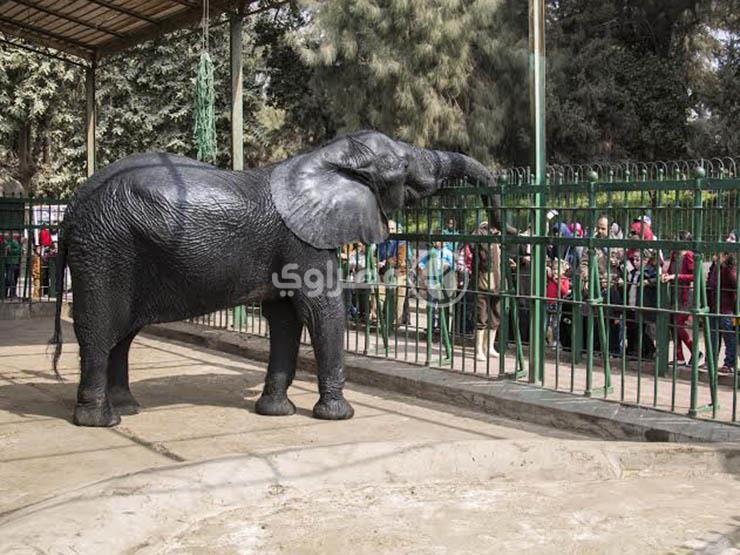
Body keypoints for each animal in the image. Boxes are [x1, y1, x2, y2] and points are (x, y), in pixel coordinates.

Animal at [49, 129, 512, 426]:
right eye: (403, 165)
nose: (495, 224)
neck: (325, 158)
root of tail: (69, 215)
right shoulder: (303, 239)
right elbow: (321, 310)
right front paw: (339, 416)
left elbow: (285, 319)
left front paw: (275, 412)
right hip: (106, 249)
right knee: (99, 328)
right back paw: (101, 421)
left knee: (122, 333)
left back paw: (127, 408)